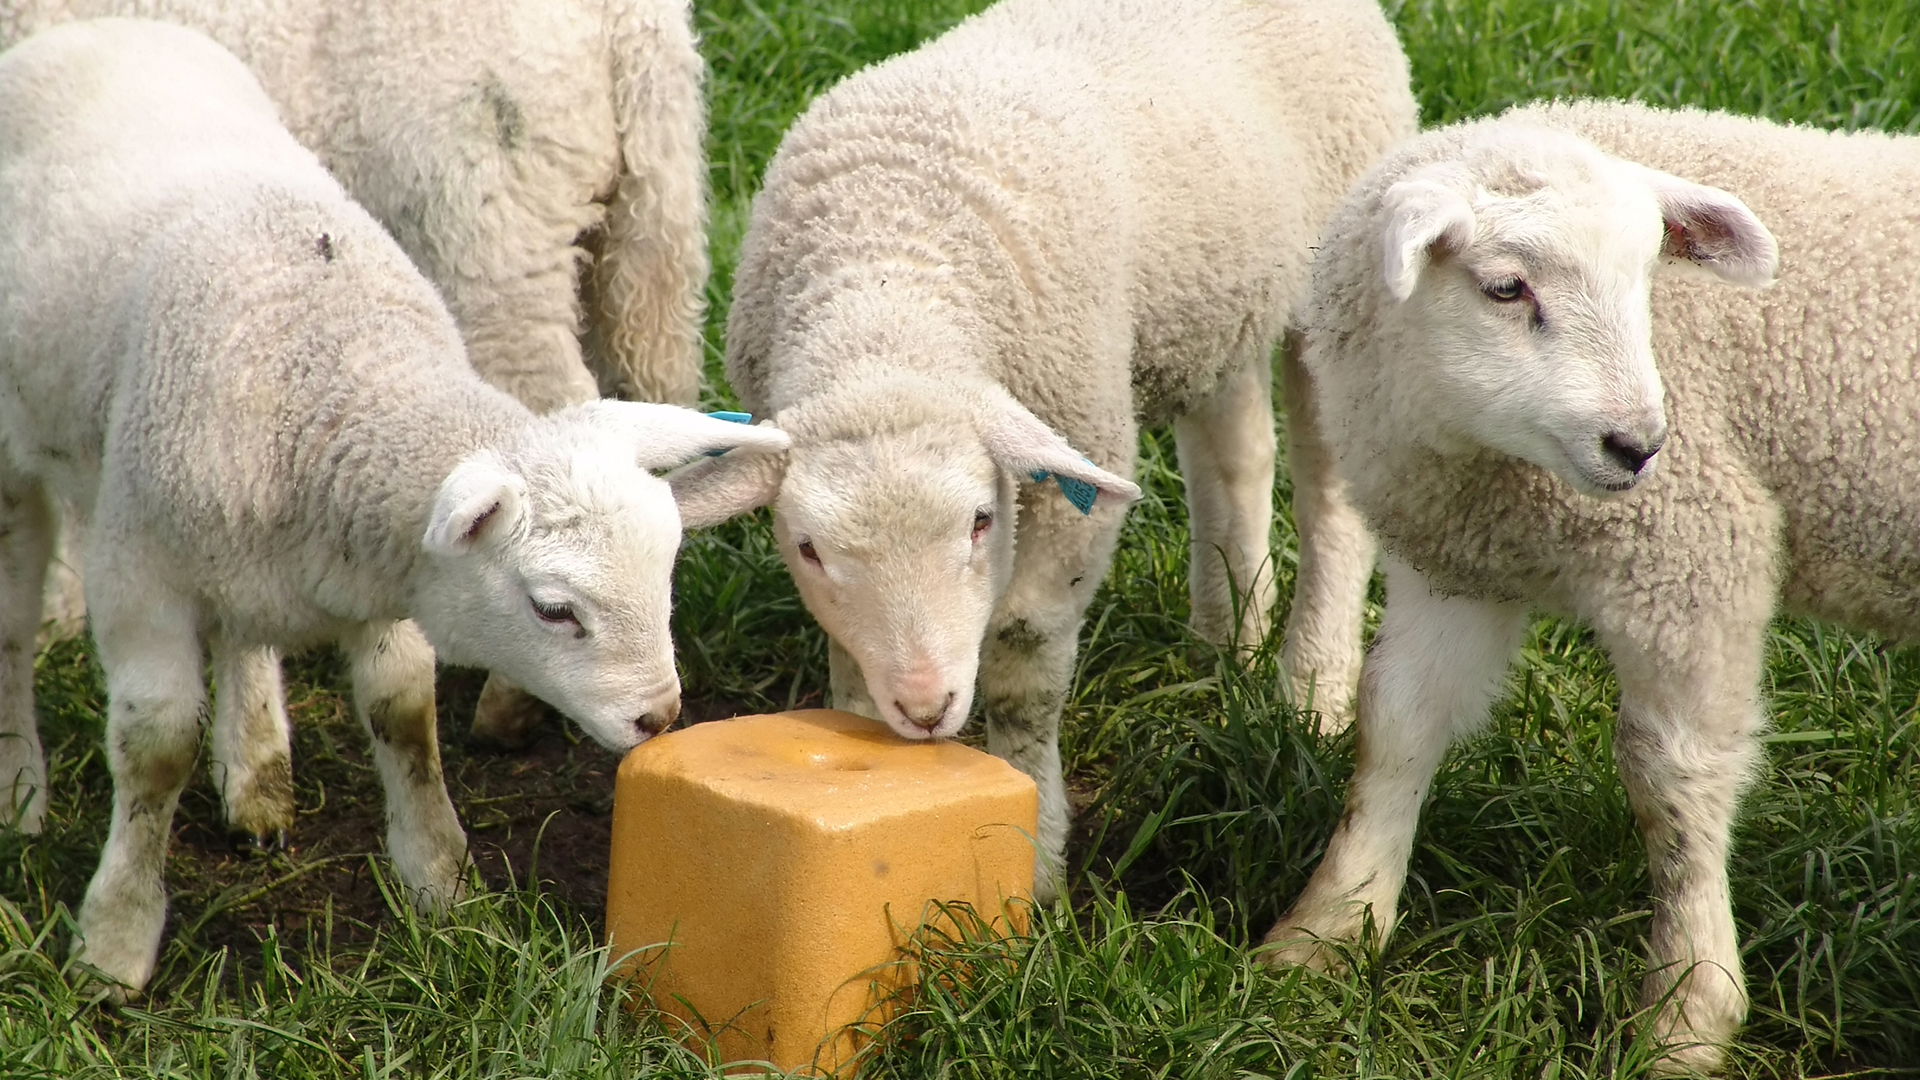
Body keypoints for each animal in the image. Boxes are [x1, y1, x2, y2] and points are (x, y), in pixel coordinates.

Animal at [672, 0, 1413, 895]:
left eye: (981, 522)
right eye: (809, 549)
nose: (925, 708)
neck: (889, 290)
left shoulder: (1074, 468)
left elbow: (1024, 668)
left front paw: (1032, 857)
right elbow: (848, 662)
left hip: (1337, 284)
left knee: (1330, 495)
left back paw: (1312, 686)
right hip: (1220, 296)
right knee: (1233, 452)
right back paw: (1226, 636)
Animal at [1259, 98, 1920, 1068]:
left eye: (1647, 277)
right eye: (1505, 289)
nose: (1638, 447)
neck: (1483, 457)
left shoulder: (1692, 553)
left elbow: (1671, 781)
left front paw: (1687, 1012)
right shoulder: (1460, 560)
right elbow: (1396, 723)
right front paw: (1328, 932)